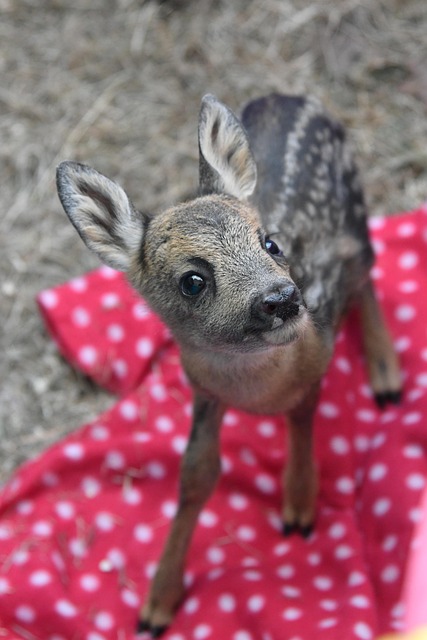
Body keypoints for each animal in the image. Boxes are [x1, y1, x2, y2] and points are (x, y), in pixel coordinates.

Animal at [56, 92, 401, 637]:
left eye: (270, 243)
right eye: (192, 280)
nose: (283, 297)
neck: (254, 390)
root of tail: (294, 96)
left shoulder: (316, 357)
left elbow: (303, 416)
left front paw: (300, 505)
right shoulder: (203, 391)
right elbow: (197, 473)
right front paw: (157, 603)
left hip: (355, 204)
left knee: (365, 266)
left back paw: (387, 375)